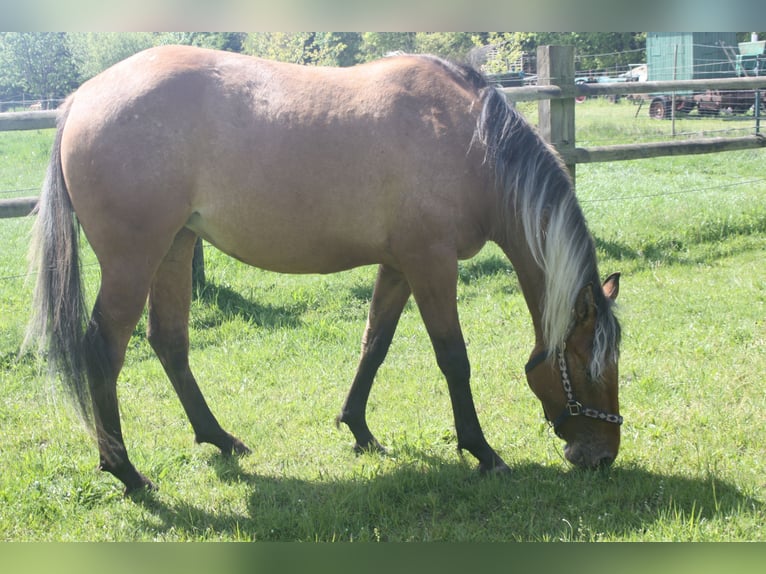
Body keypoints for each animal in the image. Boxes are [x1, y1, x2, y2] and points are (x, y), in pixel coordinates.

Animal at [26, 45, 622, 494]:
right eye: (591, 369)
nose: (602, 456)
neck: (471, 143)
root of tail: (82, 97)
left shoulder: (400, 265)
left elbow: (374, 344)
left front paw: (358, 429)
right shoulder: (431, 263)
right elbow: (454, 359)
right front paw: (483, 451)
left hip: (175, 246)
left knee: (169, 342)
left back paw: (220, 439)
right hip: (133, 259)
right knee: (104, 352)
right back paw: (126, 472)